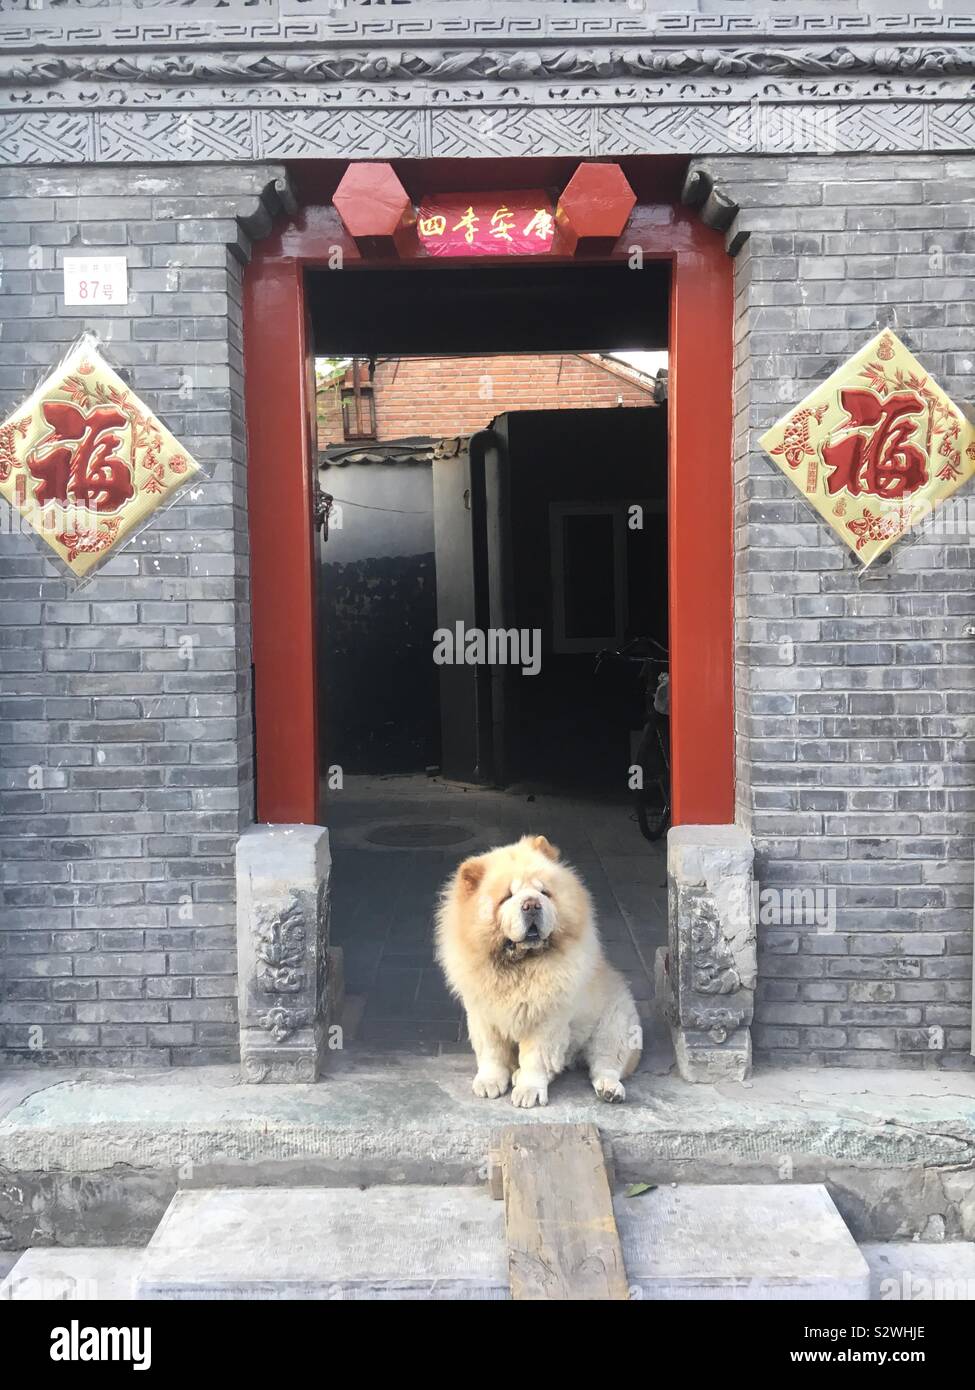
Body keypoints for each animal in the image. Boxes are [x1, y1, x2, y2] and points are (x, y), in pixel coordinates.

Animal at [436, 834, 642, 1106]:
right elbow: (492, 1051)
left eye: (544, 892)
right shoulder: (482, 1012)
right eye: (507, 897)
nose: (532, 904)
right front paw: (490, 1082)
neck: (520, 966)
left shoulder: (545, 1018)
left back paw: (610, 1089)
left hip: (614, 1024)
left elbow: (536, 1058)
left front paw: (528, 1091)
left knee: (605, 1062)